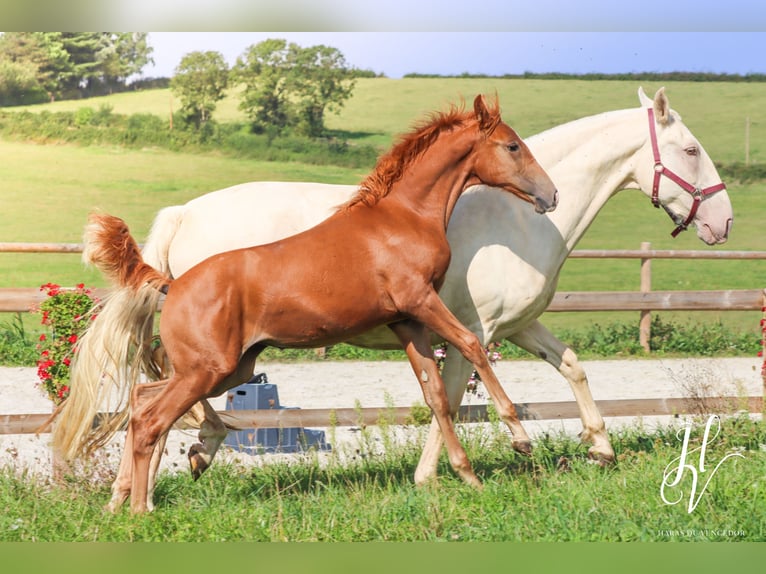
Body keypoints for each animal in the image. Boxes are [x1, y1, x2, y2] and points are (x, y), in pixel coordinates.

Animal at [54, 97, 560, 516]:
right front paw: (520, 441)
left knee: (142, 398)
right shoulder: (421, 301)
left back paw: (133, 492)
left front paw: (465, 475)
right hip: (208, 369)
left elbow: (435, 394)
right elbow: (473, 346)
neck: (403, 217)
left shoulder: (406, 320)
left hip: (229, 367)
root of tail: (171, 284)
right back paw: (144, 507)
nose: (550, 195)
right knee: (150, 419)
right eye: (512, 146)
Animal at [99, 88, 736, 510]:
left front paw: (599, 449)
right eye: (690, 150)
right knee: (158, 404)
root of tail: (181, 221)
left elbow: (566, 367)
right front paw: (471, 463)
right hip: (217, 360)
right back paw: (156, 486)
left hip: (230, 360)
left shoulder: (505, 324)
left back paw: (135, 490)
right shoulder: (470, 325)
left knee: (147, 397)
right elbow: (453, 390)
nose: (724, 223)